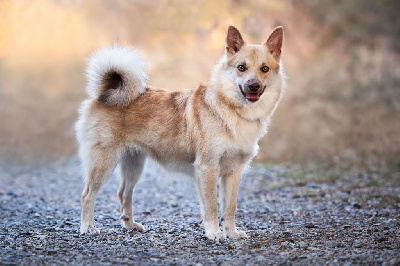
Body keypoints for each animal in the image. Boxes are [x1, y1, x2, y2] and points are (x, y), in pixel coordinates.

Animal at [76, 25, 284, 241]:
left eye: (265, 69)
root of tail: (105, 92)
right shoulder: (207, 169)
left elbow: (230, 208)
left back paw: (130, 225)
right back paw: (87, 227)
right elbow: (212, 206)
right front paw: (214, 233)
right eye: (241, 67)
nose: (254, 86)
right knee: (87, 195)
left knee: (124, 193)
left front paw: (231, 232)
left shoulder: (233, 173)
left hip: (134, 164)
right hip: (103, 163)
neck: (232, 111)